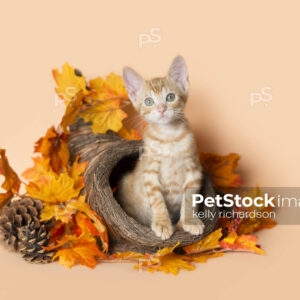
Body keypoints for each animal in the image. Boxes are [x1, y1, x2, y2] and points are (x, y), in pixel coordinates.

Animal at [118, 55, 204, 239]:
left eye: (170, 97)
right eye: (148, 101)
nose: (162, 109)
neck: (169, 137)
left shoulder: (193, 168)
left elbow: (189, 197)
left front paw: (189, 221)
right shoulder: (150, 172)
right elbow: (157, 199)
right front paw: (162, 223)